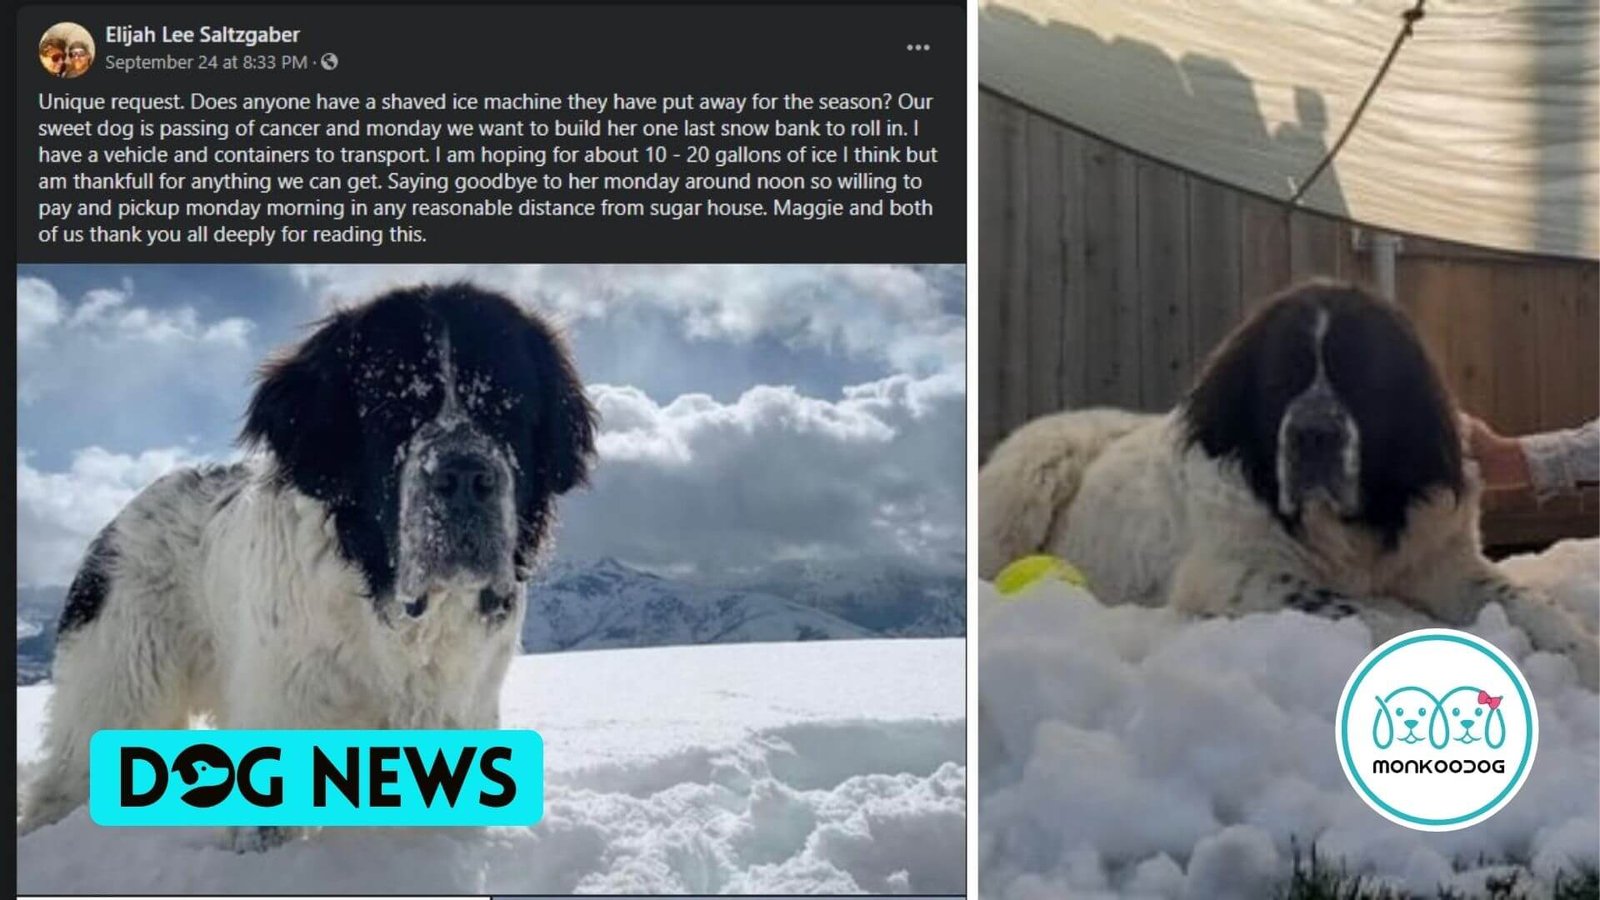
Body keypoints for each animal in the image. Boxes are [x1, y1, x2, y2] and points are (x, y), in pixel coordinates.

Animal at [979, 277, 1593, 682]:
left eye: (1364, 380)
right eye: (1279, 381)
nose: (1313, 434)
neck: (1345, 529)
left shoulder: (1441, 557)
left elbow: (1524, 600)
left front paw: (1582, 653)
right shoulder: (1232, 571)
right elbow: (1362, 613)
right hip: (1031, 471)